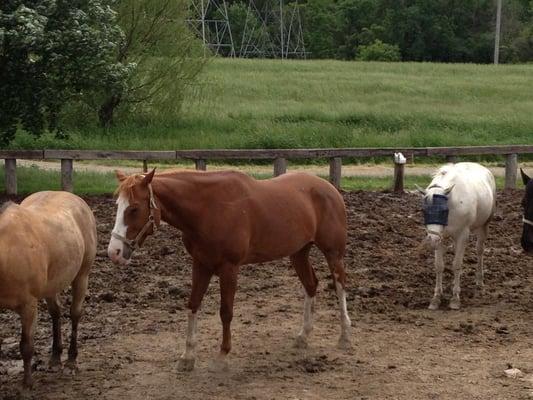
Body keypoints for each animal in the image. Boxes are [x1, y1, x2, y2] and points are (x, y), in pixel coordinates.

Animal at [0, 192, 96, 390]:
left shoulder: (28, 305)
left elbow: (26, 346)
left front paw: (27, 384)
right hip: (52, 284)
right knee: (56, 313)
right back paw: (55, 359)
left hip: (82, 276)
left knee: (74, 314)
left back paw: (71, 362)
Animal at [107, 170, 350, 372]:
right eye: (118, 205)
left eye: (134, 208)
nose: (114, 252)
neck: (209, 209)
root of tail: (329, 188)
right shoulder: (201, 264)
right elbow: (193, 304)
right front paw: (187, 357)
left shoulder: (229, 268)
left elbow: (226, 311)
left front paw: (222, 356)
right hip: (298, 252)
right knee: (311, 285)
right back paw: (303, 336)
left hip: (333, 253)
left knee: (340, 286)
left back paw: (345, 336)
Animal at [416, 162, 494, 310]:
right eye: (424, 211)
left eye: (443, 210)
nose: (431, 240)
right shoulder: (440, 237)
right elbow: (439, 265)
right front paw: (436, 298)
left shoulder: (462, 235)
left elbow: (457, 265)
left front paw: (455, 298)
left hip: (484, 225)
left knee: (479, 250)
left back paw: (479, 282)